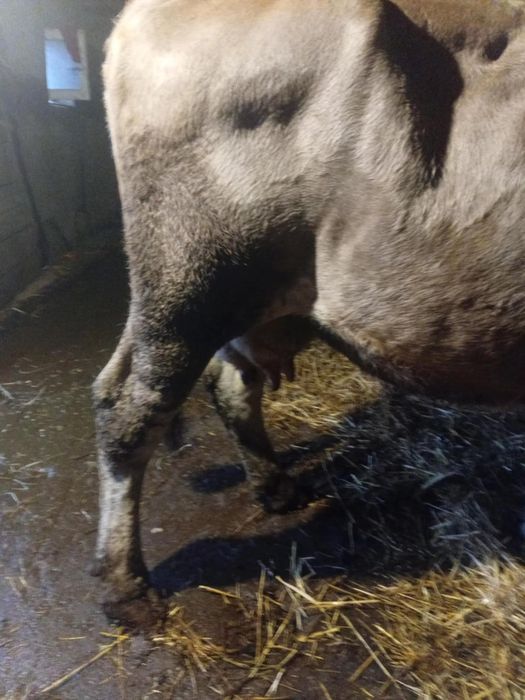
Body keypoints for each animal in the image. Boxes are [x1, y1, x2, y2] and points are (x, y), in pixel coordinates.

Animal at [92, 0, 525, 622]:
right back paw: (126, 587)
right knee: (128, 415)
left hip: (241, 293)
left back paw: (277, 488)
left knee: (227, 381)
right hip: (189, 279)